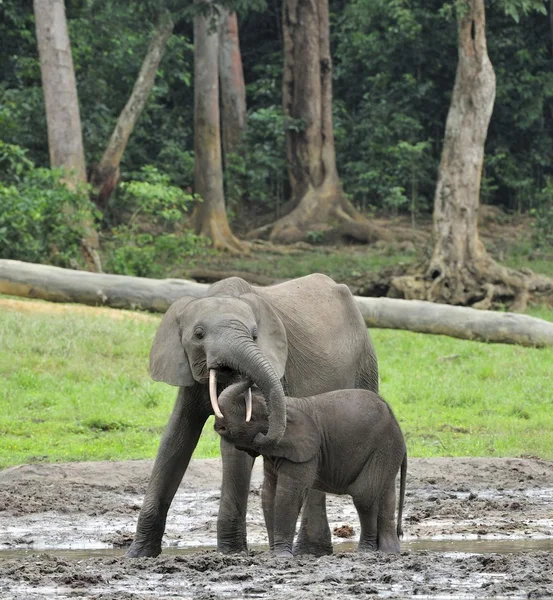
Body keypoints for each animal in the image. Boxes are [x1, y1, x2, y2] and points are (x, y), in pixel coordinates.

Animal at [125, 276, 378, 556]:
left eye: (255, 336)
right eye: (198, 335)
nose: (244, 377)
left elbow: (234, 444)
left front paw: (231, 553)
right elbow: (175, 440)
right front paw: (137, 554)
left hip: (366, 365)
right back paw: (312, 551)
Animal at [213, 382, 408, 560]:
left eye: (251, 418)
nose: (219, 427)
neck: (286, 406)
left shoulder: (306, 452)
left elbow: (288, 495)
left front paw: (282, 556)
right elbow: (269, 494)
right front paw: (275, 554)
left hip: (384, 447)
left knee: (364, 496)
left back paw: (365, 552)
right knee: (384, 495)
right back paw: (388, 552)